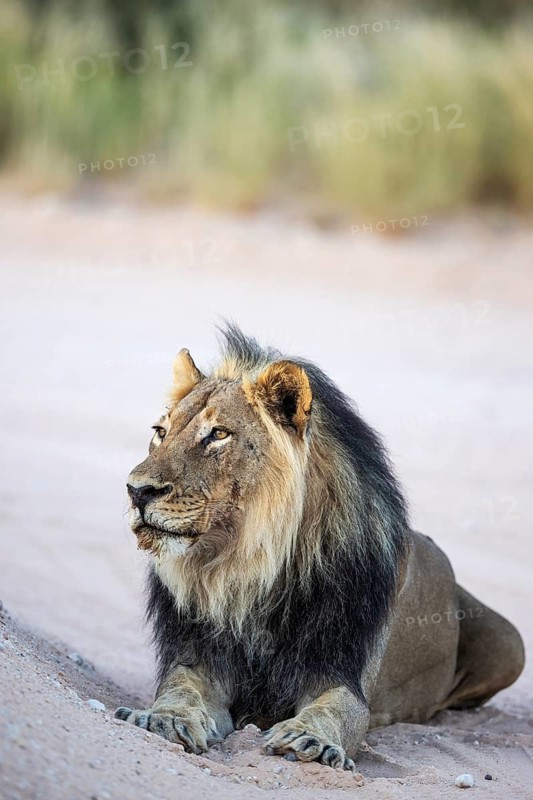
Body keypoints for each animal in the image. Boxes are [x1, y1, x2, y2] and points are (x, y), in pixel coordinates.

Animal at [115, 325, 524, 770]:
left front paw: (309, 738)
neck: (250, 568)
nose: (137, 491)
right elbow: (179, 689)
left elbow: (336, 710)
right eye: (161, 432)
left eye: (219, 434)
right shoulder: (198, 658)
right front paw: (167, 719)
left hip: (511, 644)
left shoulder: (343, 674)